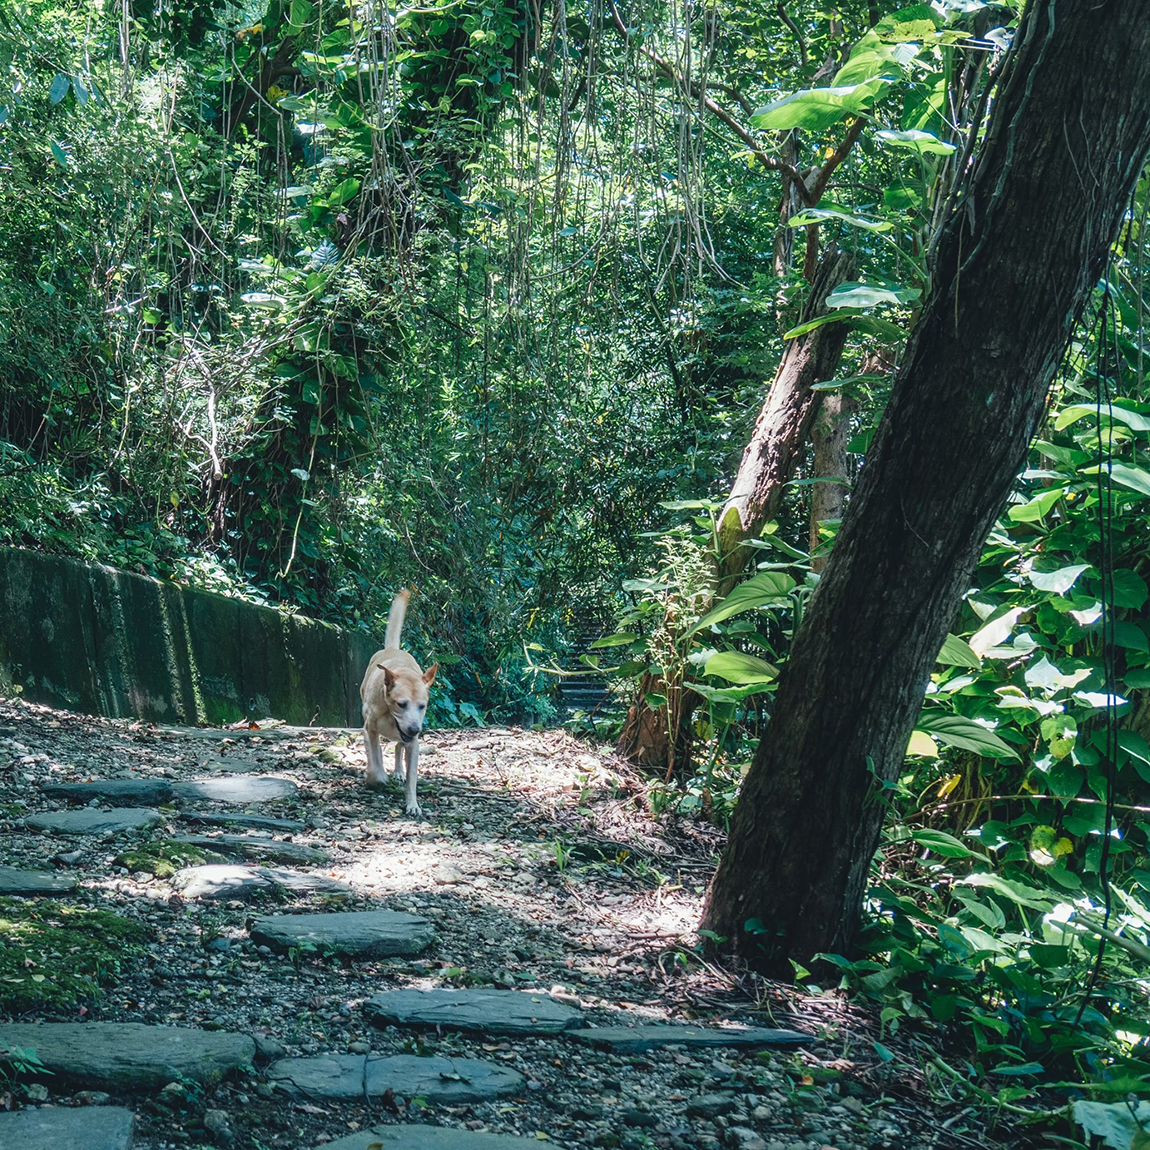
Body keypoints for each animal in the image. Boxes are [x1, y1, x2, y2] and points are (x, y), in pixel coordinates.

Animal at [358, 593, 434, 818]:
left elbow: (412, 777)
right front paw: (376, 777)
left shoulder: (413, 742)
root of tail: (393, 649)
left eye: (422, 706)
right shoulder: (369, 728)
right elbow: (374, 755)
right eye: (401, 704)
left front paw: (413, 804)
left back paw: (399, 771)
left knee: (399, 746)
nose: (415, 728)